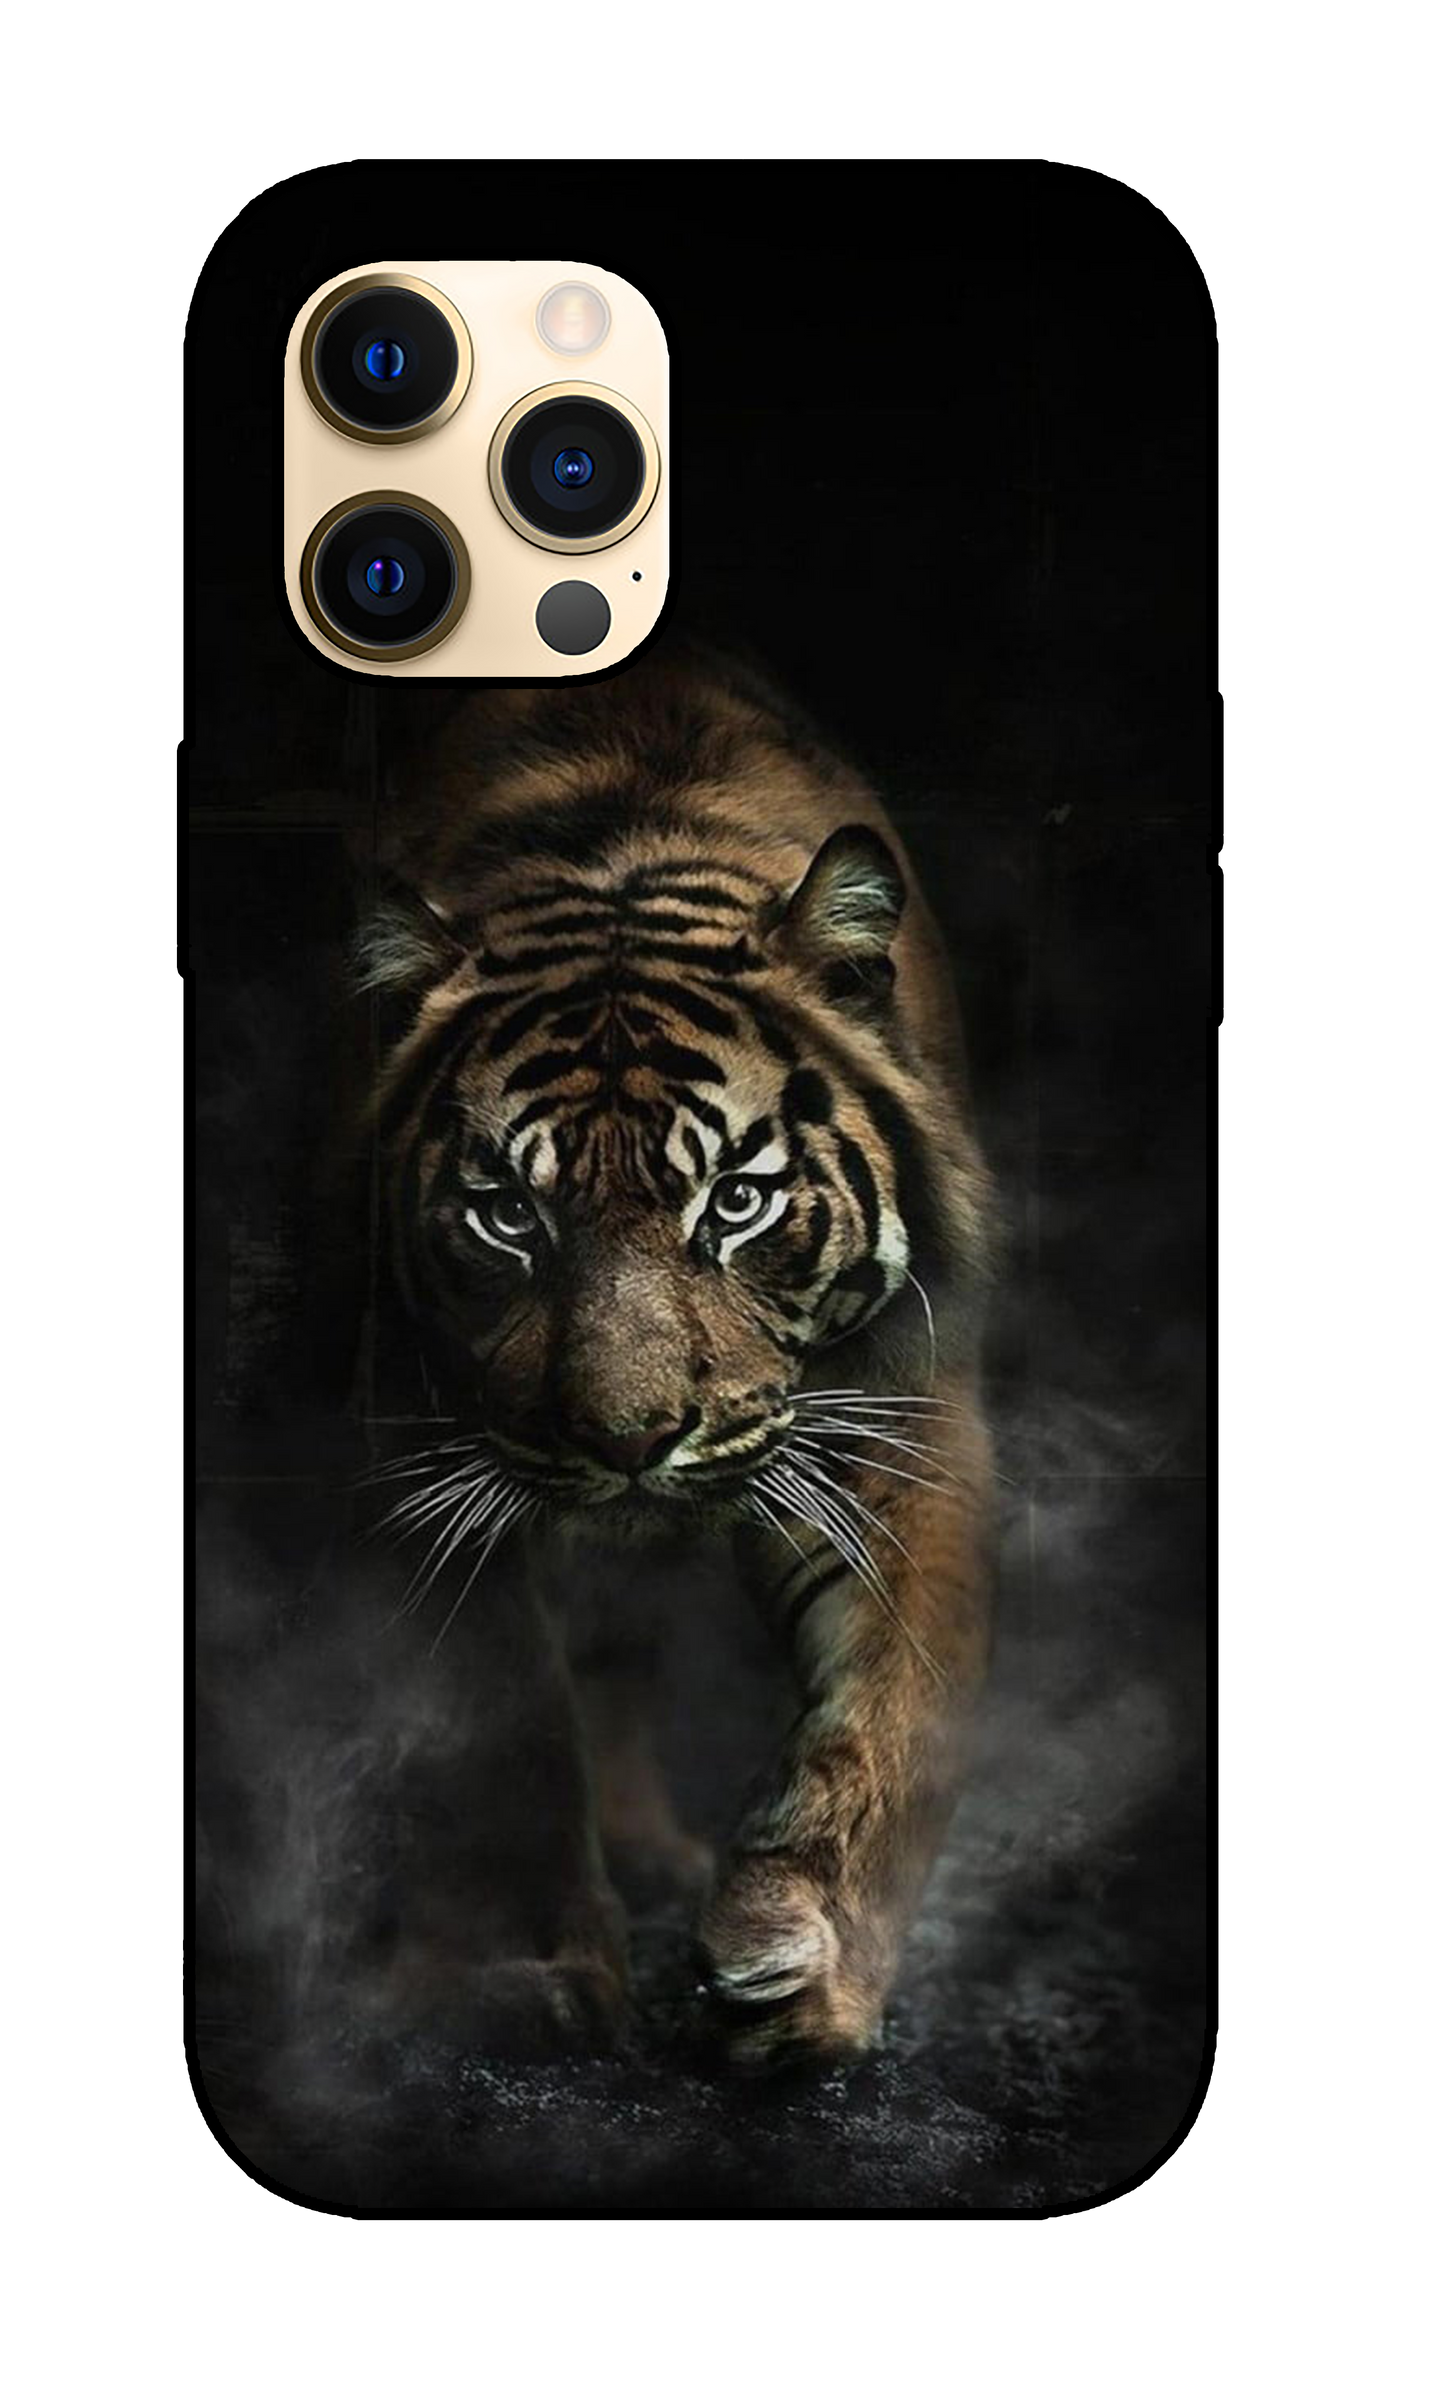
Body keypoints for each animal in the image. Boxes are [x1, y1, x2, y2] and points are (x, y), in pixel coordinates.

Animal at [356, 641, 996, 2070]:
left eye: (737, 1203)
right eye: (507, 1216)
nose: (630, 1439)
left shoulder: (895, 1417)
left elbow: (889, 1709)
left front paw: (801, 1966)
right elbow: (506, 1722)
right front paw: (533, 1972)